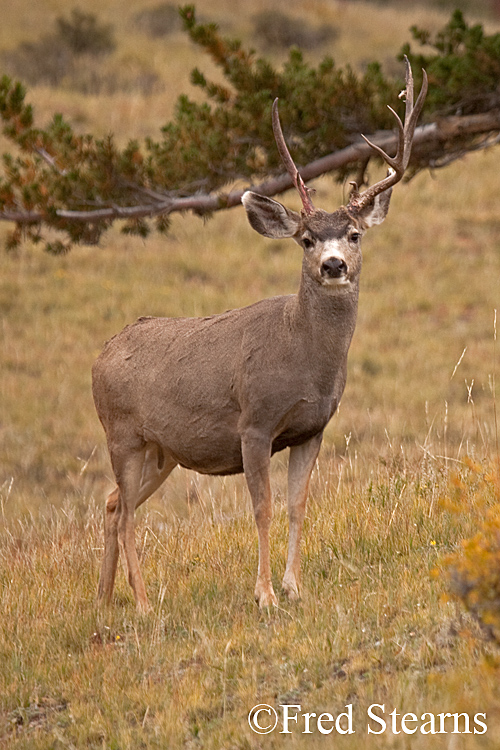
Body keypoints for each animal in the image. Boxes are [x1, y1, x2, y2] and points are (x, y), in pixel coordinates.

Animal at [92, 59, 427, 611]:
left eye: (354, 234)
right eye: (306, 239)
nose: (333, 264)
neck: (303, 359)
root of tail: (101, 354)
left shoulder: (311, 428)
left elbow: (297, 505)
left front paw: (294, 587)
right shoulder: (254, 424)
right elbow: (263, 508)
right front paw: (265, 594)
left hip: (161, 450)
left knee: (114, 503)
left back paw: (103, 598)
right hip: (121, 432)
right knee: (128, 515)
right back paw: (140, 603)